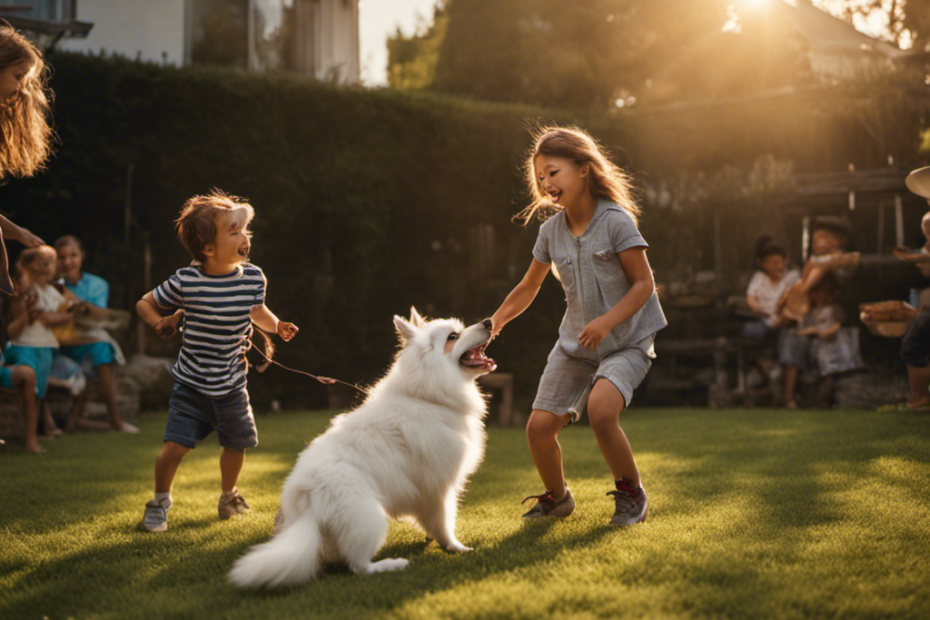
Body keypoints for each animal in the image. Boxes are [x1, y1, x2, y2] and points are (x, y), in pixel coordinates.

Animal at [229, 308, 496, 588]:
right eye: (453, 337)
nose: (489, 322)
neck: (427, 398)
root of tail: (309, 505)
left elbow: (433, 524)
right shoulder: (439, 489)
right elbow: (444, 523)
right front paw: (457, 548)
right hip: (371, 519)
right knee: (358, 566)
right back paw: (392, 564)